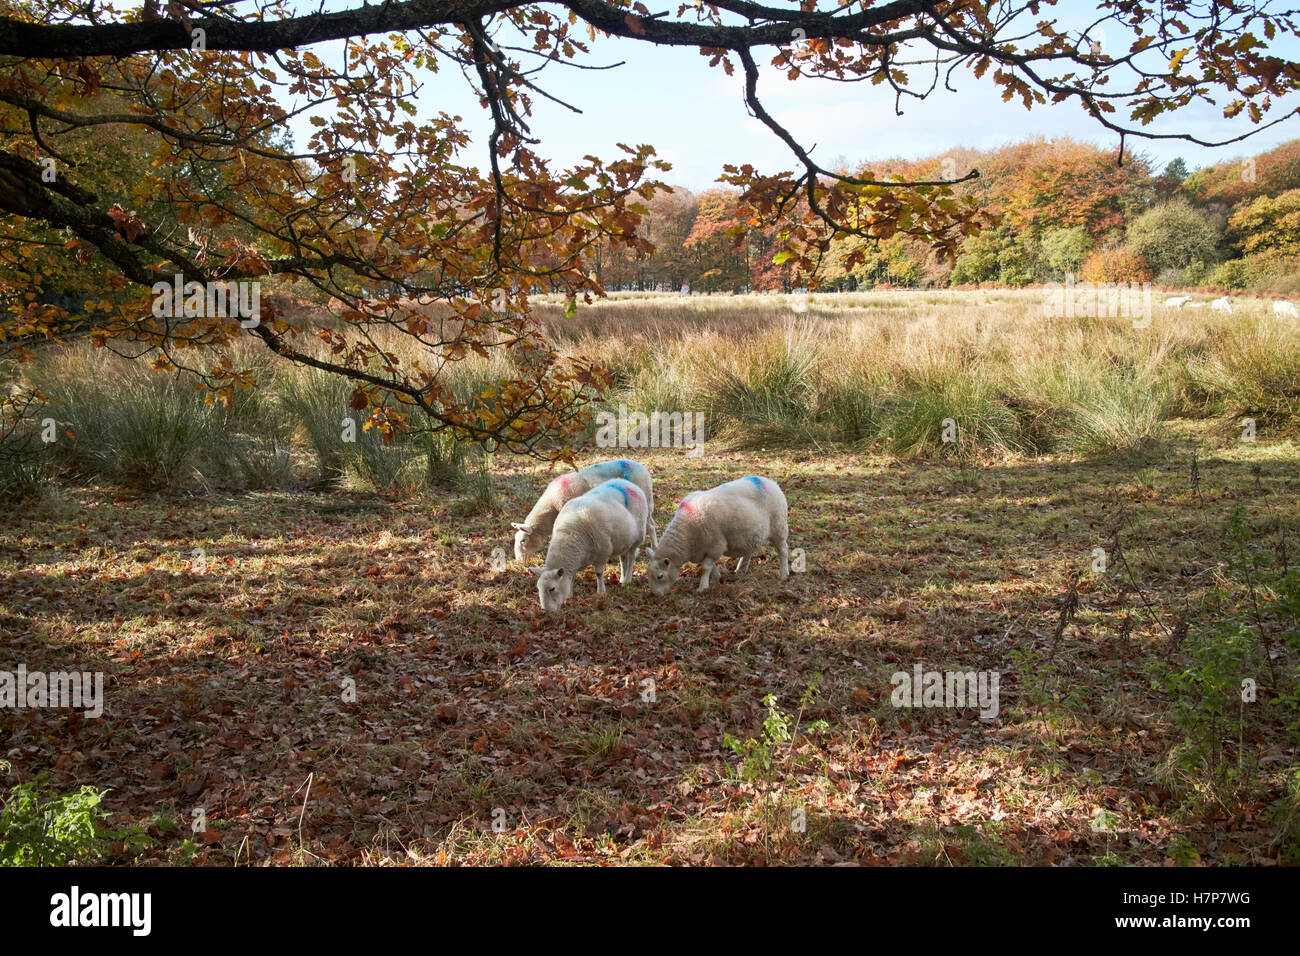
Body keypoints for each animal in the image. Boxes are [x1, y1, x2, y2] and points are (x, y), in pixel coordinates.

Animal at [512, 460, 655, 564]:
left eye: (523, 540)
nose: (519, 562)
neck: (551, 507)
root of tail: (643, 468)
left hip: (646, 500)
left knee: (651, 526)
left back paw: (654, 547)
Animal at [644, 476, 785, 595]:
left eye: (660, 576)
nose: (655, 595)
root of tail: (770, 482)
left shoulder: (716, 546)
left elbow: (706, 567)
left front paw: (703, 587)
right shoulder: (703, 550)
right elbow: (710, 567)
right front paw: (715, 579)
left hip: (779, 526)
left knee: (783, 550)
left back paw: (784, 573)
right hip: (751, 533)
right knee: (749, 550)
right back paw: (740, 570)